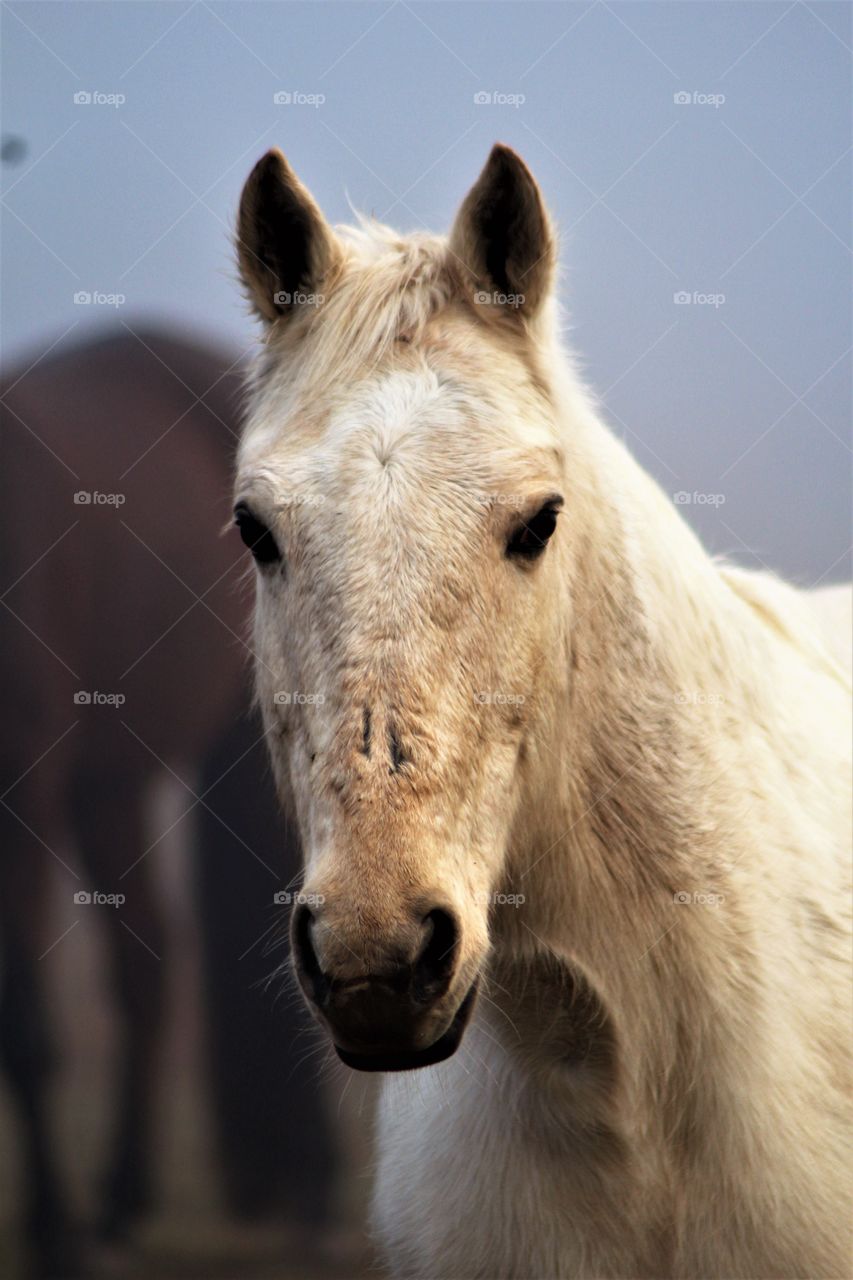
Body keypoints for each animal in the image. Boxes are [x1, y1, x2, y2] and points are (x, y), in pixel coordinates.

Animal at [0, 327, 338, 1269]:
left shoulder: (24, 797)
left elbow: (28, 1026)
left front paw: (53, 1237)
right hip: (107, 782)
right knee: (146, 963)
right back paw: (125, 1197)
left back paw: (307, 1191)